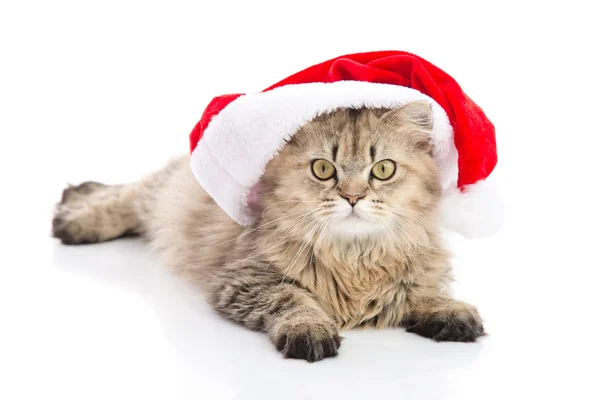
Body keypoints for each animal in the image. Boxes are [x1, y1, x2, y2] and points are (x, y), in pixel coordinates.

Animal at [50, 102, 482, 362]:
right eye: (323, 169)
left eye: (383, 170)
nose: (353, 197)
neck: (353, 257)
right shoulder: (244, 278)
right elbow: (292, 298)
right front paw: (310, 328)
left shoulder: (422, 270)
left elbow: (423, 290)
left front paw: (449, 311)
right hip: (164, 197)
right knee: (129, 194)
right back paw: (74, 217)